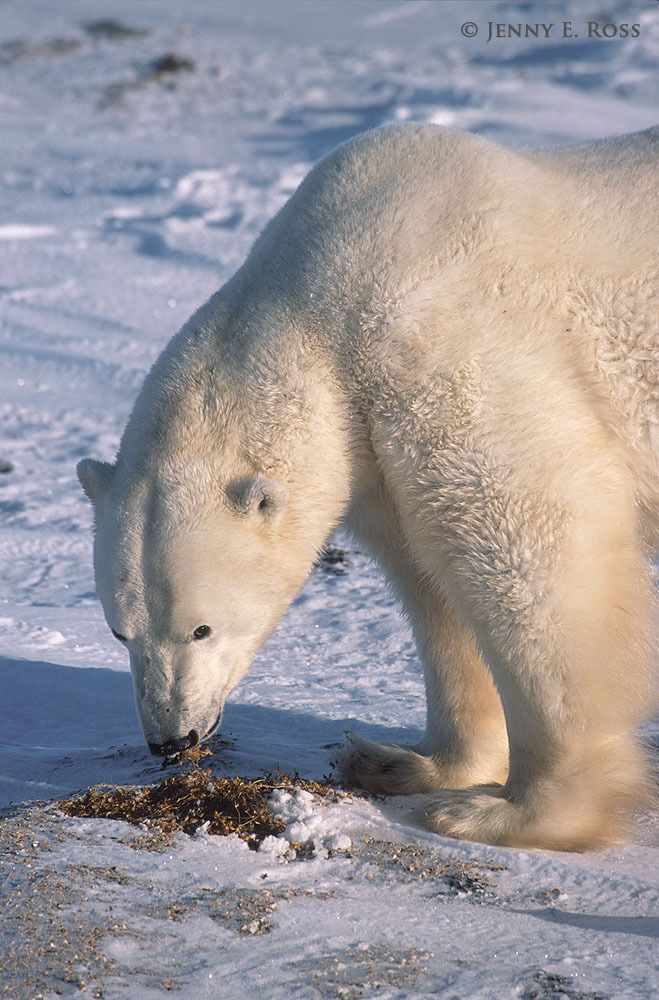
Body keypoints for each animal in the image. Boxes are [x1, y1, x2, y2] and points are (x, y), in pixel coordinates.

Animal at [77, 123, 658, 851]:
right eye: (119, 632)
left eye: (202, 628)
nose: (170, 740)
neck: (317, 296)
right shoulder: (372, 443)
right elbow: (432, 577)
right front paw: (404, 763)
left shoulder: (447, 343)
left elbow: (529, 544)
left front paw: (507, 813)